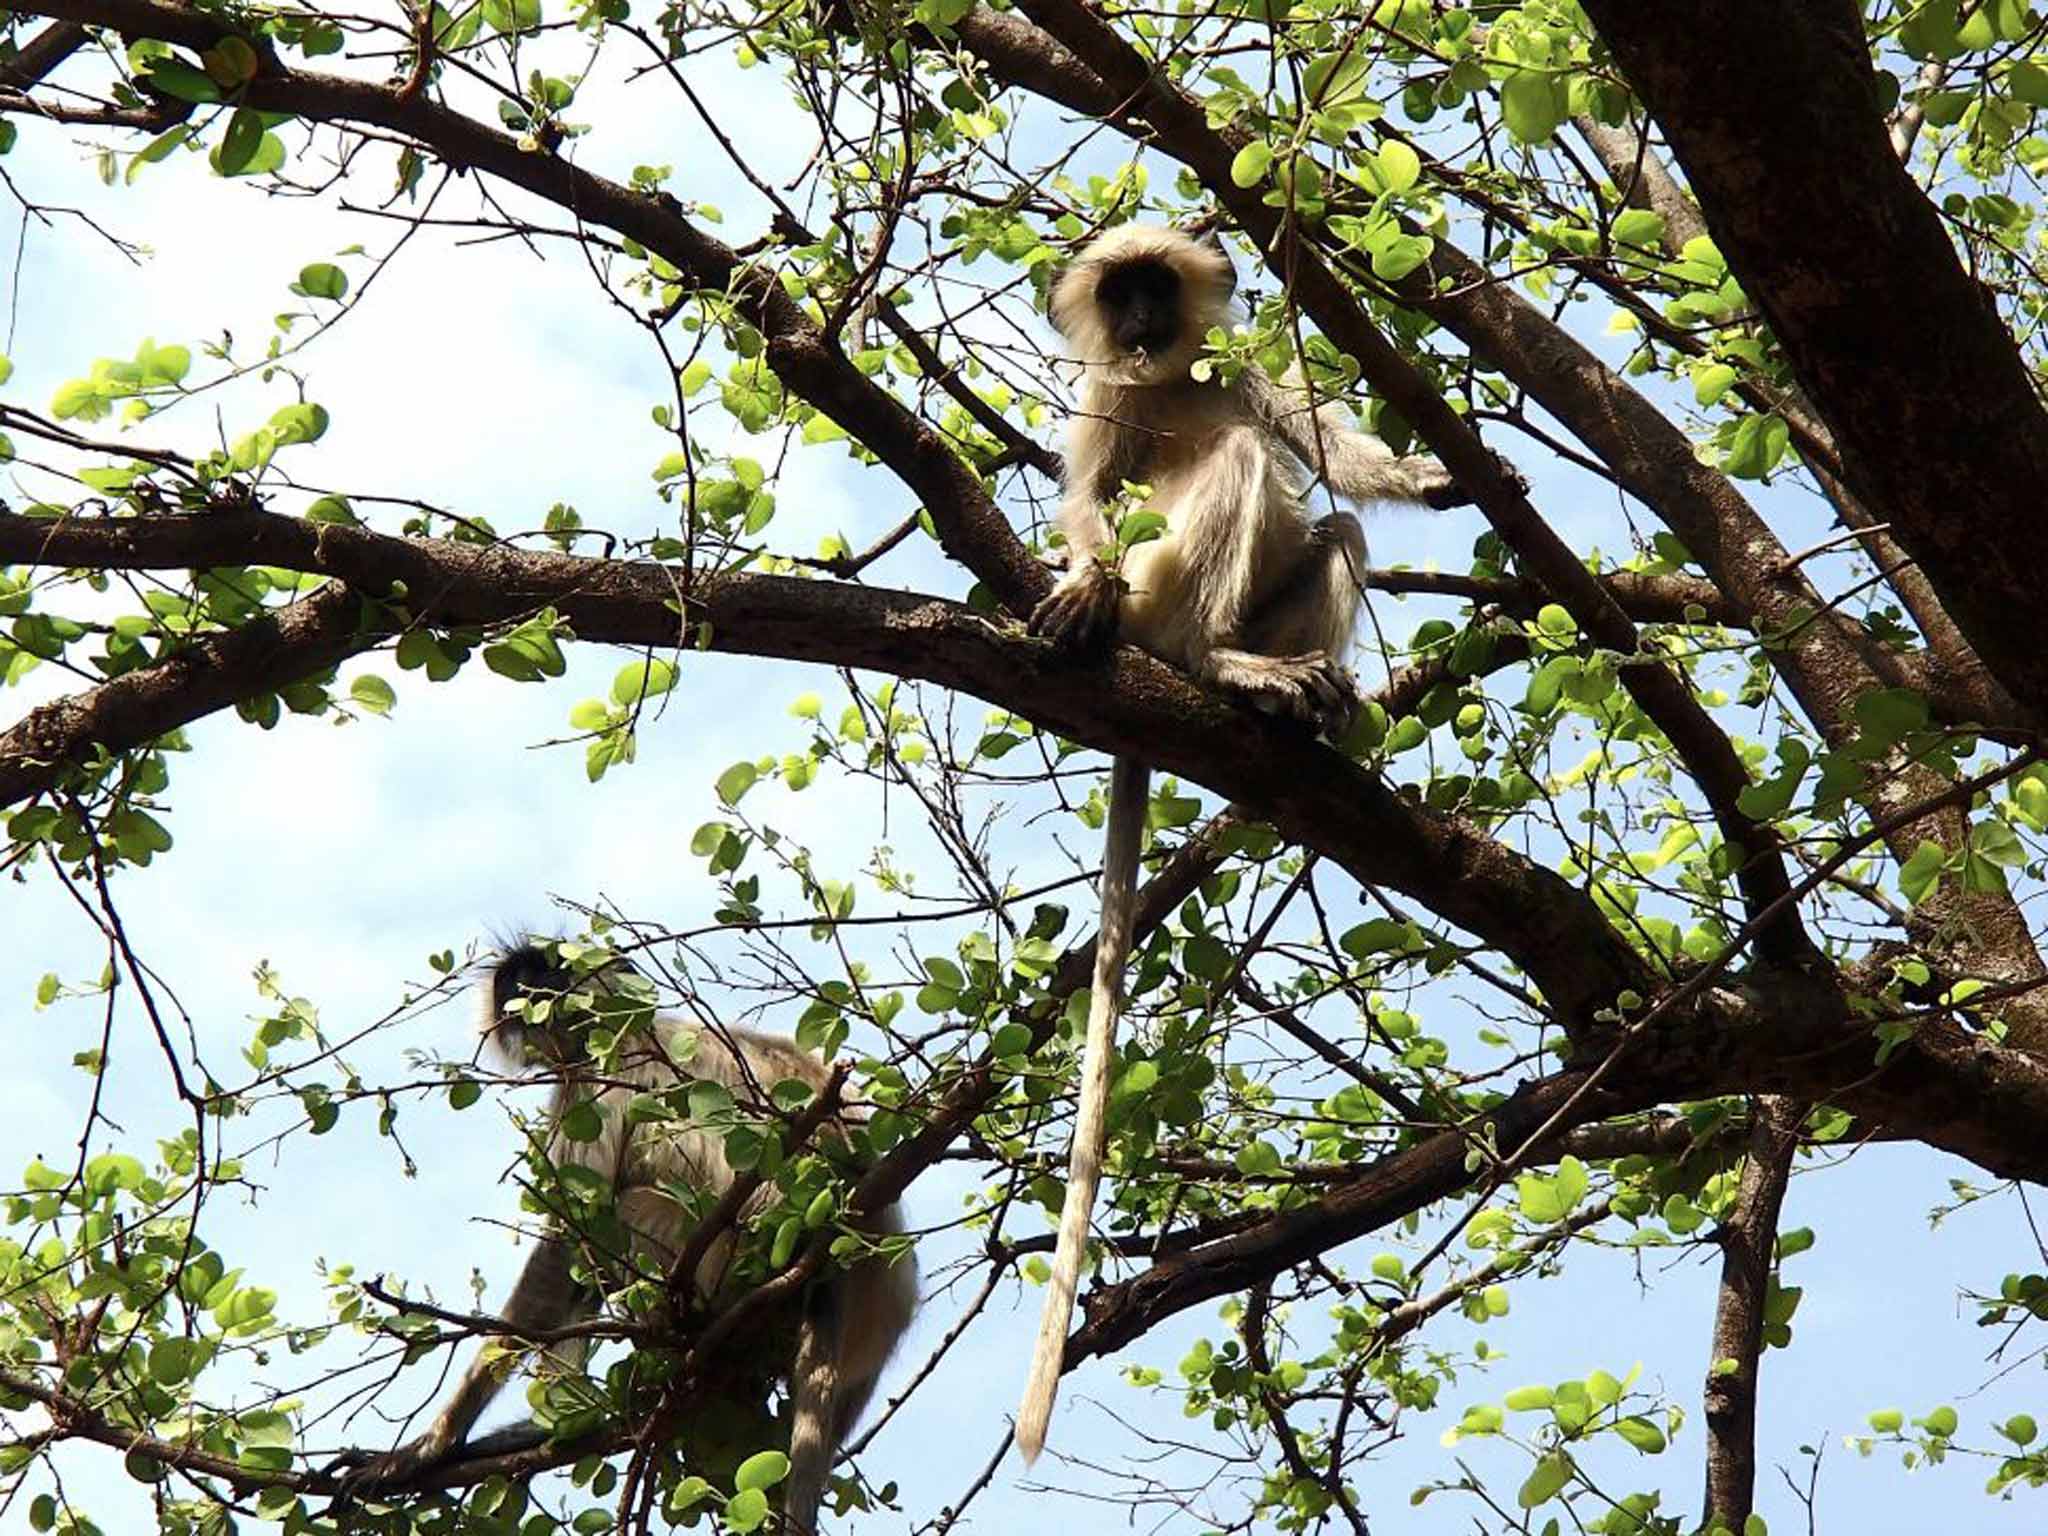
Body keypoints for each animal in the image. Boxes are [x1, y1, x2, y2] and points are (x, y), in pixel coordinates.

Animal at [339, 946, 917, 1531]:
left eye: (543, 981)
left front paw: (427, 1447)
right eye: (514, 989)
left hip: (718, 1269)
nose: (525, 1006)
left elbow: (563, 1245)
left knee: (624, 1211)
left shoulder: (594, 1076)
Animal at [1019, 222, 1507, 1458]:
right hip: (1158, 601)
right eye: (1120, 296)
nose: (1145, 319)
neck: (1159, 376)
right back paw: (1217, 668)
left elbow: (1324, 443)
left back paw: (1293, 701)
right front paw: (1078, 579)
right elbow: (1086, 504)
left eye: (1157, 288)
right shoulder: (1102, 397)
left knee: (1326, 521)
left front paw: (1433, 476)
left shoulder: (1224, 369)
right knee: (1235, 474)